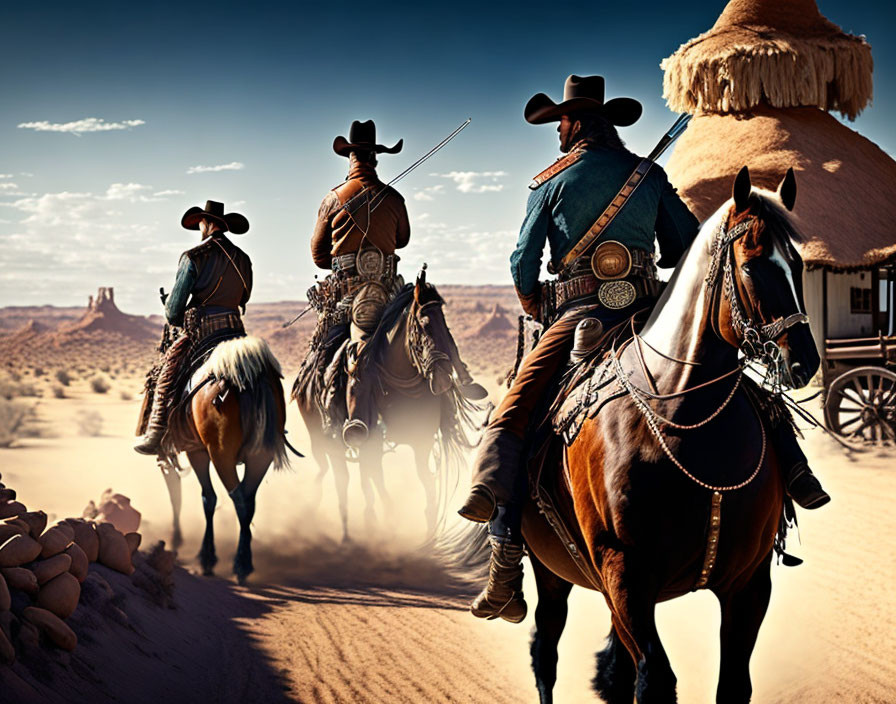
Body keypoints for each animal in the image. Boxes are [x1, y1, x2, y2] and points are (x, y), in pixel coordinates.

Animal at [158, 336, 288, 584]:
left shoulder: (196, 451)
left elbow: (207, 498)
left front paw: (207, 557)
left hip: (221, 453)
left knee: (237, 497)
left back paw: (238, 564)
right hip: (261, 455)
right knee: (248, 499)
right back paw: (244, 561)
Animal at [296, 266, 484, 540]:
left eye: (445, 323)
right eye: (423, 323)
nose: (442, 379)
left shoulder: (421, 441)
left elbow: (425, 483)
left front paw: (428, 532)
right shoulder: (368, 440)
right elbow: (368, 482)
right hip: (327, 441)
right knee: (343, 480)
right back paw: (347, 532)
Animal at [504, 166, 820, 704]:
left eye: (797, 265)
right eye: (753, 267)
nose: (803, 360)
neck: (683, 413)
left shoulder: (749, 584)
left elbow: (731, 685)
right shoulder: (626, 577)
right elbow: (655, 681)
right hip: (552, 571)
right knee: (545, 652)